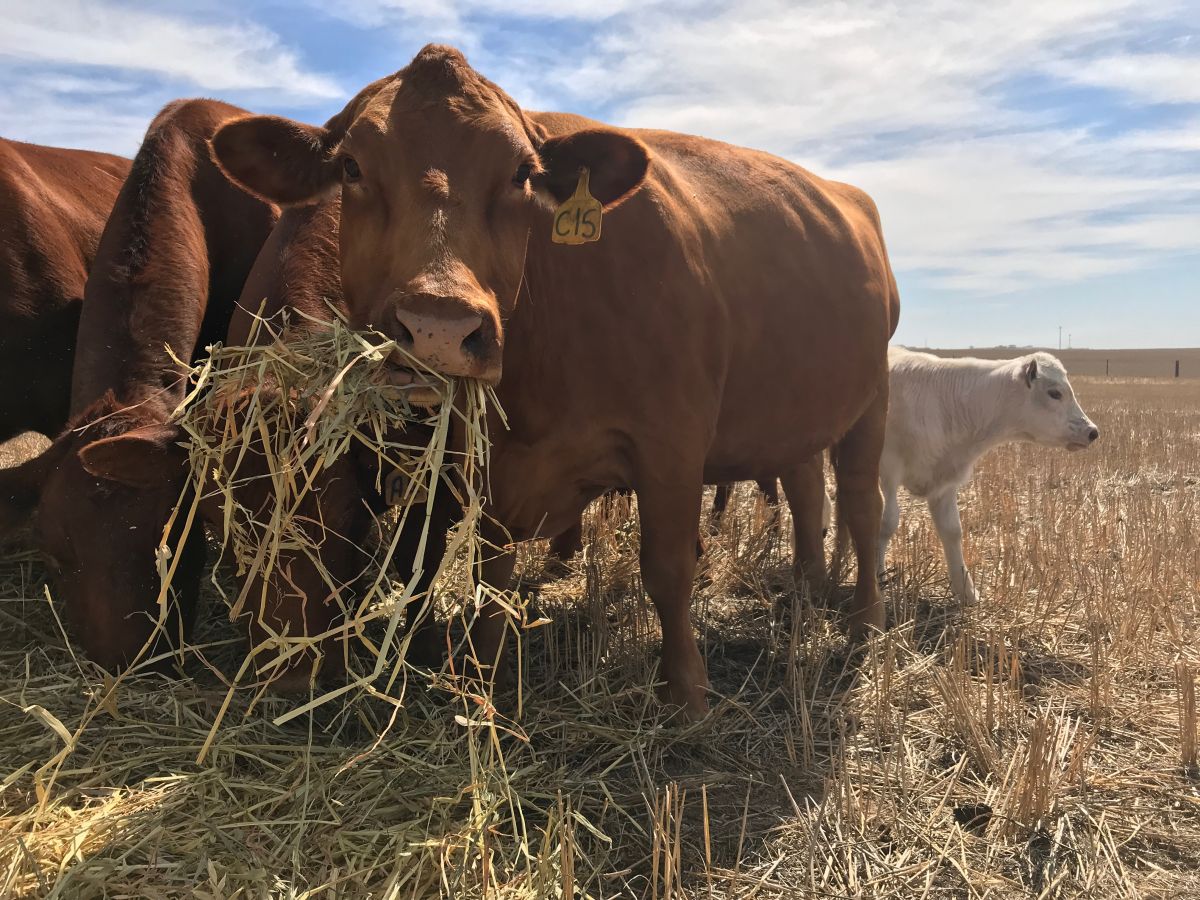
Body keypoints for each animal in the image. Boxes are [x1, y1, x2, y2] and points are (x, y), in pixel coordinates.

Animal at [883, 348, 1099, 602]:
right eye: (1054, 393)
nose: (1092, 431)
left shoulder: (945, 481)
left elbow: (952, 530)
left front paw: (967, 591)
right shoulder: (887, 469)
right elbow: (887, 522)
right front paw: (877, 579)